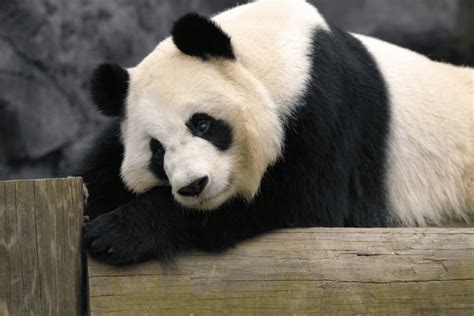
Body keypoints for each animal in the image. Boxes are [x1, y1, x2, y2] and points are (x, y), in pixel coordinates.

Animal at [79, 0, 472, 266]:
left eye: (202, 124)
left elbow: (302, 199)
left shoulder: (325, 106)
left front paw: (115, 233)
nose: (193, 186)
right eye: (157, 151)